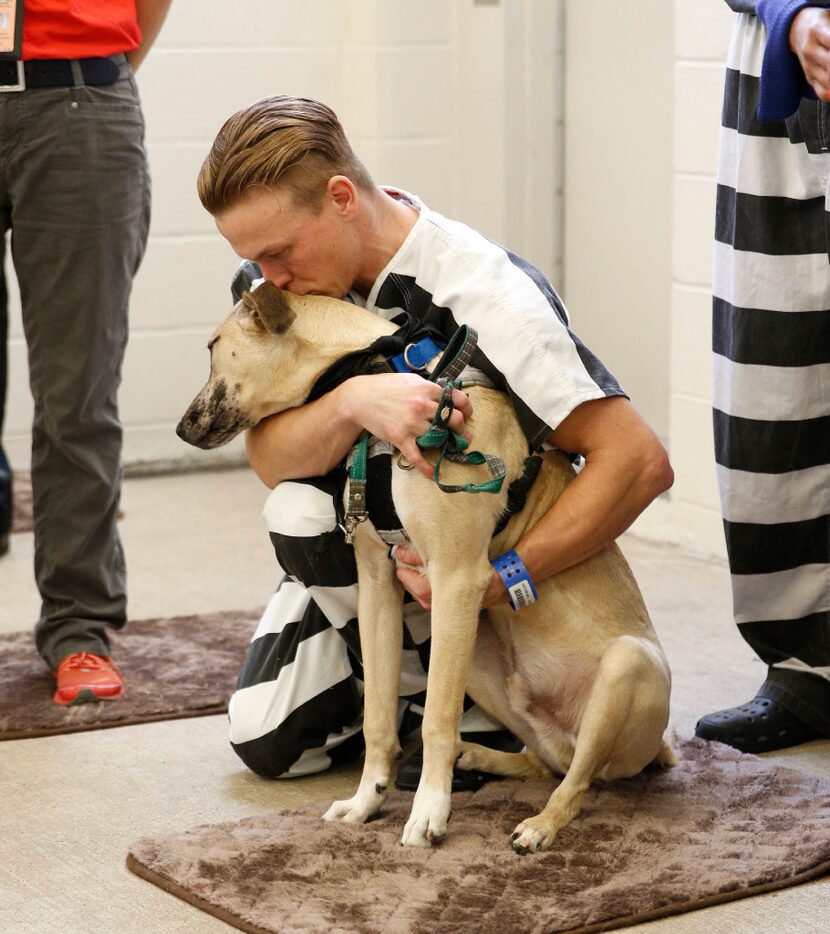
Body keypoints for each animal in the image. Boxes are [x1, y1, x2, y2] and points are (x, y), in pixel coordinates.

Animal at [180, 280, 676, 856]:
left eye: (213, 347)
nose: (181, 428)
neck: (382, 370)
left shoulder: (457, 581)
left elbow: (437, 718)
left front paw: (429, 813)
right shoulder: (377, 582)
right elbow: (378, 716)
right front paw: (367, 801)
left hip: (625, 664)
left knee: (576, 783)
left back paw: (537, 825)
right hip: (483, 664)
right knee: (547, 762)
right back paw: (479, 755)